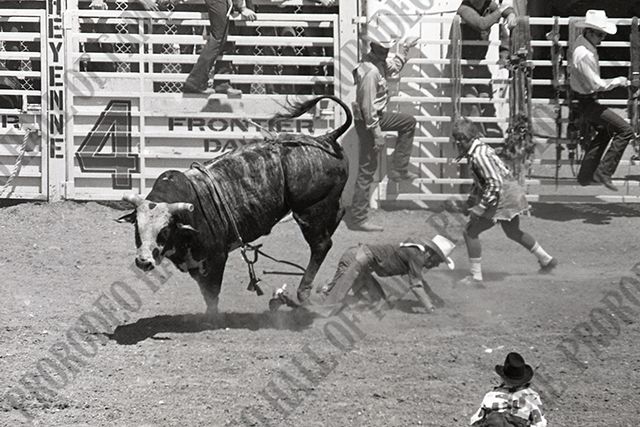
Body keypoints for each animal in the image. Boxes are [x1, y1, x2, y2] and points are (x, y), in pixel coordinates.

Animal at [118, 95, 352, 315]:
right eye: (137, 228)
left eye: (164, 230)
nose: (143, 261)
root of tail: (325, 138)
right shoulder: (196, 263)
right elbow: (205, 291)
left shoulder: (215, 257)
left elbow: (211, 293)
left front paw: (211, 318)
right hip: (326, 204)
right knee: (338, 215)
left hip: (310, 211)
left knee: (321, 245)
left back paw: (303, 293)